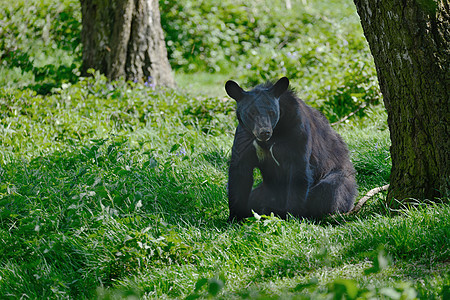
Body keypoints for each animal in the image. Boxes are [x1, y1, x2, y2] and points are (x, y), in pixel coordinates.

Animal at [227, 77, 356, 223]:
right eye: (251, 113)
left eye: (272, 112)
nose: (264, 132)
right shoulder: (244, 138)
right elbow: (240, 173)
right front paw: (235, 217)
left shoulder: (298, 133)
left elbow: (299, 172)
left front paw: (289, 214)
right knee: (255, 197)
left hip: (341, 178)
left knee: (330, 189)